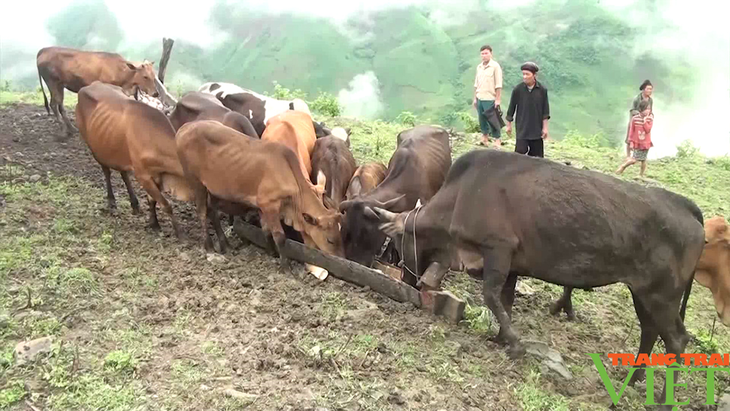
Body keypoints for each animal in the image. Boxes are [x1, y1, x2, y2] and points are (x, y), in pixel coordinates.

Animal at [76, 82, 193, 237]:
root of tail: (90, 85)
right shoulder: (143, 176)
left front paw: (153, 223)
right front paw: (179, 233)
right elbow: (166, 204)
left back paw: (134, 203)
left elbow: (152, 200)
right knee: (107, 171)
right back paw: (112, 201)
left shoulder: (157, 175)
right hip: (96, 149)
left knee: (123, 173)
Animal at [173, 119, 344, 268]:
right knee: (202, 212)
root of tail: (184, 128)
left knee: (212, 212)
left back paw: (225, 244)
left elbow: (266, 230)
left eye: (339, 235)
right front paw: (285, 266)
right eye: (330, 240)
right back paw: (208, 246)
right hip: (195, 182)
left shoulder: (262, 207)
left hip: (213, 189)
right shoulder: (269, 205)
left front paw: (271, 252)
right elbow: (279, 236)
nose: (339, 258)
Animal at [372, 149, 704, 408]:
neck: (461, 196)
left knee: (676, 339)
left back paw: (664, 400)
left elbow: (491, 296)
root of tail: (686, 206)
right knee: (650, 332)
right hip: (642, 292)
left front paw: (516, 343)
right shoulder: (511, 265)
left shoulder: (498, 249)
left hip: (661, 294)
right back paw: (631, 381)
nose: (408, 281)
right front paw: (501, 338)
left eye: (399, 242)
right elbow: (505, 300)